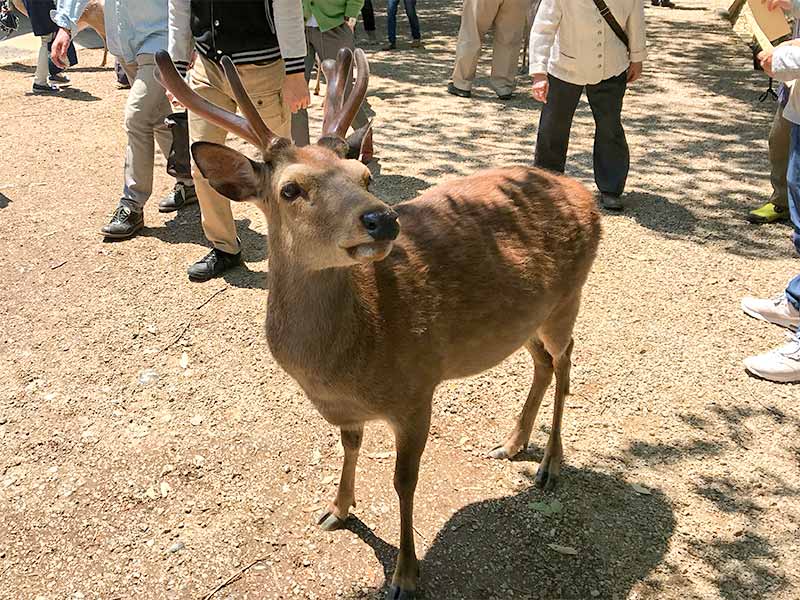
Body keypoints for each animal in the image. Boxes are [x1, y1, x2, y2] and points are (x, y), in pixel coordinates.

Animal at [155, 44, 600, 596]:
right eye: (290, 190)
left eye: (364, 177)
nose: (383, 218)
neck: (347, 365)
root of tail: (585, 194)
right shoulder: (343, 410)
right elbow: (349, 446)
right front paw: (336, 509)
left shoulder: (417, 388)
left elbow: (403, 481)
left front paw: (406, 574)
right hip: (527, 319)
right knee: (542, 362)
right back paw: (512, 443)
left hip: (569, 298)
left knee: (566, 362)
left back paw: (550, 465)